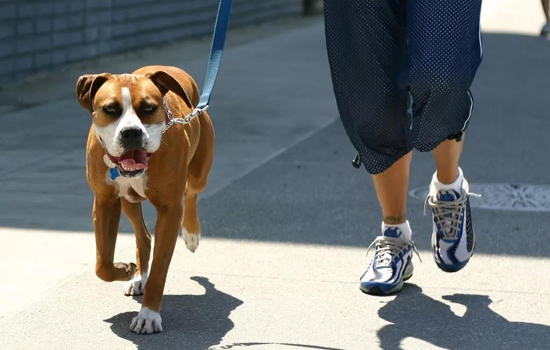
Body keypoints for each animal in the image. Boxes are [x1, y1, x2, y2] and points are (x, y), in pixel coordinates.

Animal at [76, 65, 215, 334]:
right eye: (110, 109)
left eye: (149, 108)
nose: (131, 132)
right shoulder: (104, 202)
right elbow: (102, 264)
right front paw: (125, 270)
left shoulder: (170, 210)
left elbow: (160, 269)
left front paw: (148, 315)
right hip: (128, 202)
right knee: (144, 237)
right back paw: (139, 276)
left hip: (198, 173)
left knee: (191, 193)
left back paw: (191, 233)